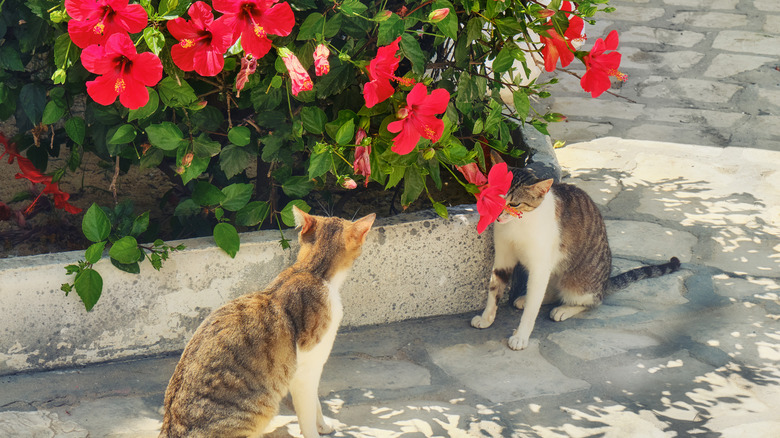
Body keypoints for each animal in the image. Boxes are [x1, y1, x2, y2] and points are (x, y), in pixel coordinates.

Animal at [159, 207, 374, 436]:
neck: (312, 271)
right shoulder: (306, 371)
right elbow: (308, 413)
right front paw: (316, 430)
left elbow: (316, 404)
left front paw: (324, 426)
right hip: (260, 408)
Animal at [472, 166, 680, 350]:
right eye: (493, 198)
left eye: (514, 204)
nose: (497, 215)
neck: (516, 226)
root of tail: (604, 283)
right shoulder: (503, 258)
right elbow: (494, 290)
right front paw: (486, 318)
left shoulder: (540, 267)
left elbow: (532, 309)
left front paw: (521, 336)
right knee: (549, 292)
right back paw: (528, 299)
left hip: (578, 284)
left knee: (592, 301)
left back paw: (564, 309)